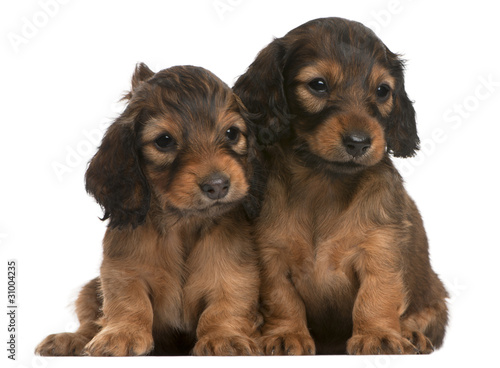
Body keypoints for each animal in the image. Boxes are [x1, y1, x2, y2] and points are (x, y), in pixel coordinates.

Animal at [35, 63, 262, 356]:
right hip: (88, 289)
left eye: (232, 133)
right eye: (164, 140)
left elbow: (227, 305)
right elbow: (129, 301)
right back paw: (69, 340)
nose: (218, 185)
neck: (182, 224)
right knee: (89, 322)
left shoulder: (235, 272)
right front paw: (123, 334)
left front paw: (224, 337)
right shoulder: (122, 269)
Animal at [234, 16, 450, 354]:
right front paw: (286, 334)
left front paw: (377, 335)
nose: (359, 142)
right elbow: (282, 299)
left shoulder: (380, 250)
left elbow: (376, 296)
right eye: (318, 85)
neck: (324, 183)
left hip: (435, 296)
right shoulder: (271, 255)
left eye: (383, 90)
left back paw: (411, 335)